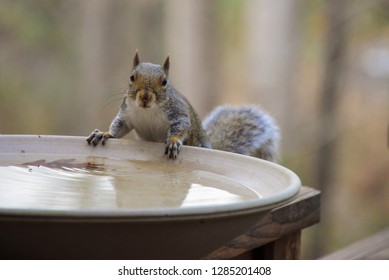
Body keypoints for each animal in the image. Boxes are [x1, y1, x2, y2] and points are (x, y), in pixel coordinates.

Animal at [85, 51, 278, 161]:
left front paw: (173, 141)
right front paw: (104, 134)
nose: (145, 97)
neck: (148, 111)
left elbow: (182, 126)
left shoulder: (178, 113)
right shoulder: (127, 114)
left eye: (164, 81)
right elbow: (119, 127)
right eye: (132, 77)